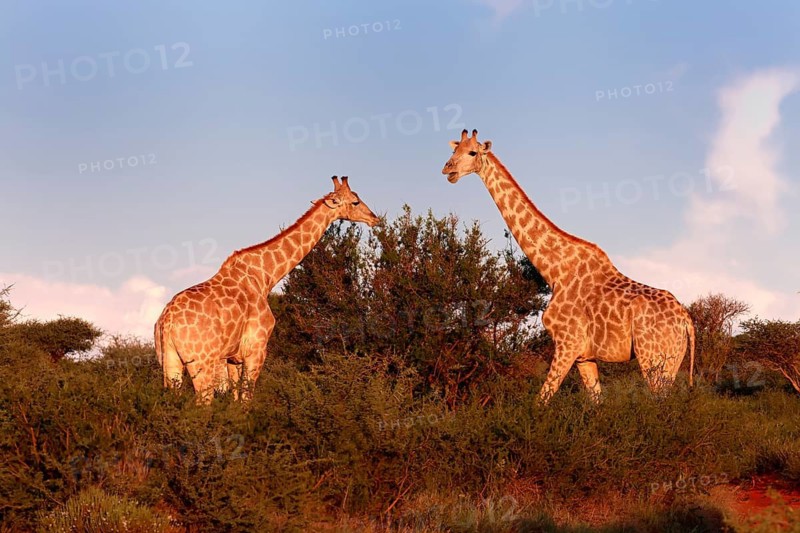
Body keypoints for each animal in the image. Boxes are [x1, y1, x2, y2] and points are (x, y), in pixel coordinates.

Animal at [154, 176, 379, 403]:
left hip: (169, 361)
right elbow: (246, 399)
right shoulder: (257, 350)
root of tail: (167, 321)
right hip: (201, 361)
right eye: (355, 202)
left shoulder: (233, 358)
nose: (375, 218)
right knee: (203, 403)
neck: (266, 277)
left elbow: (236, 401)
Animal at [442, 129, 695, 403]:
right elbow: (596, 402)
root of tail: (687, 321)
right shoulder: (585, 357)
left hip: (653, 357)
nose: (448, 169)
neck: (554, 271)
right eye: (454, 150)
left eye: (472, 152)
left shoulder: (567, 344)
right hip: (670, 361)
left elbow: (541, 400)